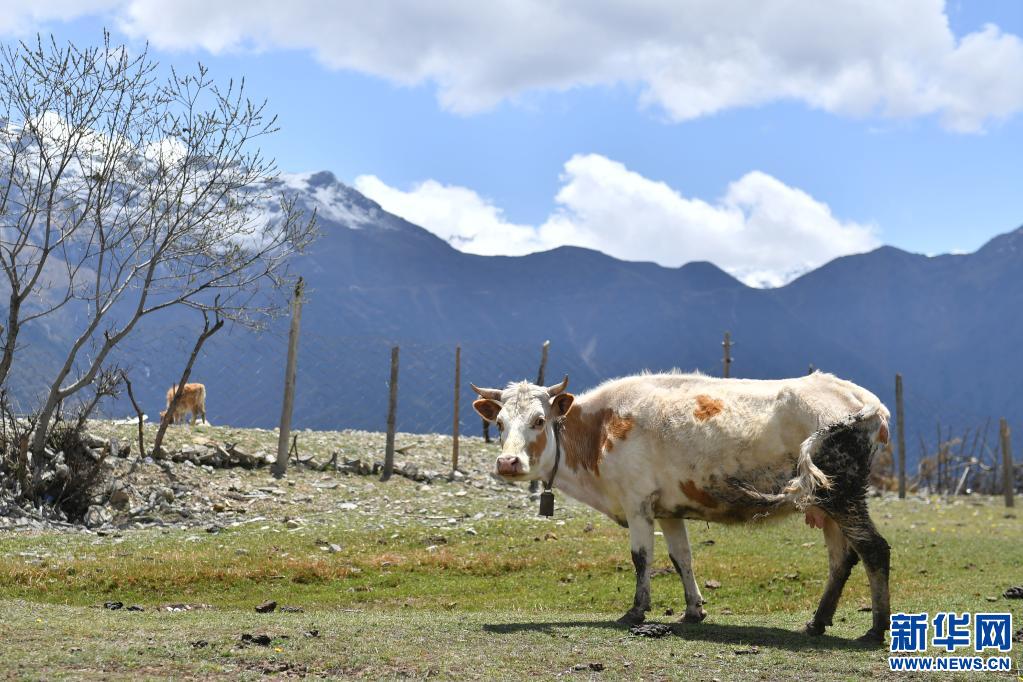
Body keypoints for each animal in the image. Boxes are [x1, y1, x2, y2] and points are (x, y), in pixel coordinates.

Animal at [471, 371, 892, 645]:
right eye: (500, 422)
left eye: (539, 420)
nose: (508, 463)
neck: (599, 430)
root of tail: (865, 401)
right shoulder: (670, 511)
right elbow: (681, 558)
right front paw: (694, 610)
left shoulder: (637, 503)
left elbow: (642, 557)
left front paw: (636, 611)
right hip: (828, 503)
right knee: (841, 560)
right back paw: (817, 623)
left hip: (845, 496)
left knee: (874, 549)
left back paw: (875, 630)